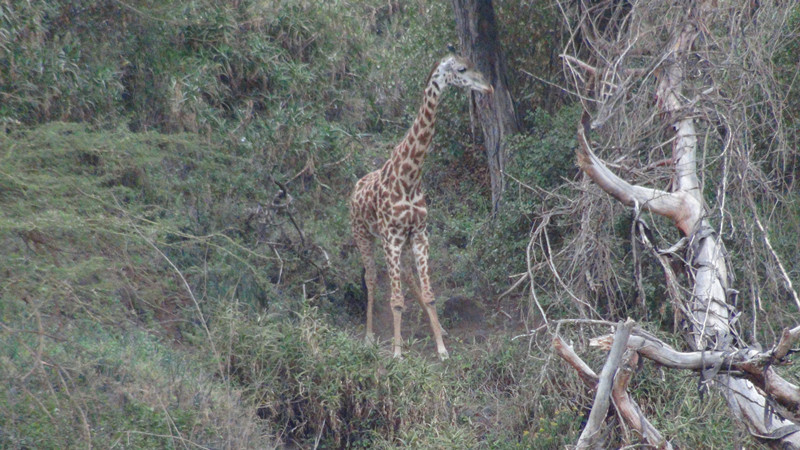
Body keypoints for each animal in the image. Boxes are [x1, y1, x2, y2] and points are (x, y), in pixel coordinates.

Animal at [350, 54, 494, 360]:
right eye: (462, 69)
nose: (488, 87)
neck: (409, 175)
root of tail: (355, 187)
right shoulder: (391, 238)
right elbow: (395, 300)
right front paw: (396, 353)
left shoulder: (418, 233)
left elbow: (429, 294)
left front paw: (441, 347)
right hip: (364, 235)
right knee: (371, 278)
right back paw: (368, 337)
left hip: (398, 242)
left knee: (405, 274)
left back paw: (439, 329)